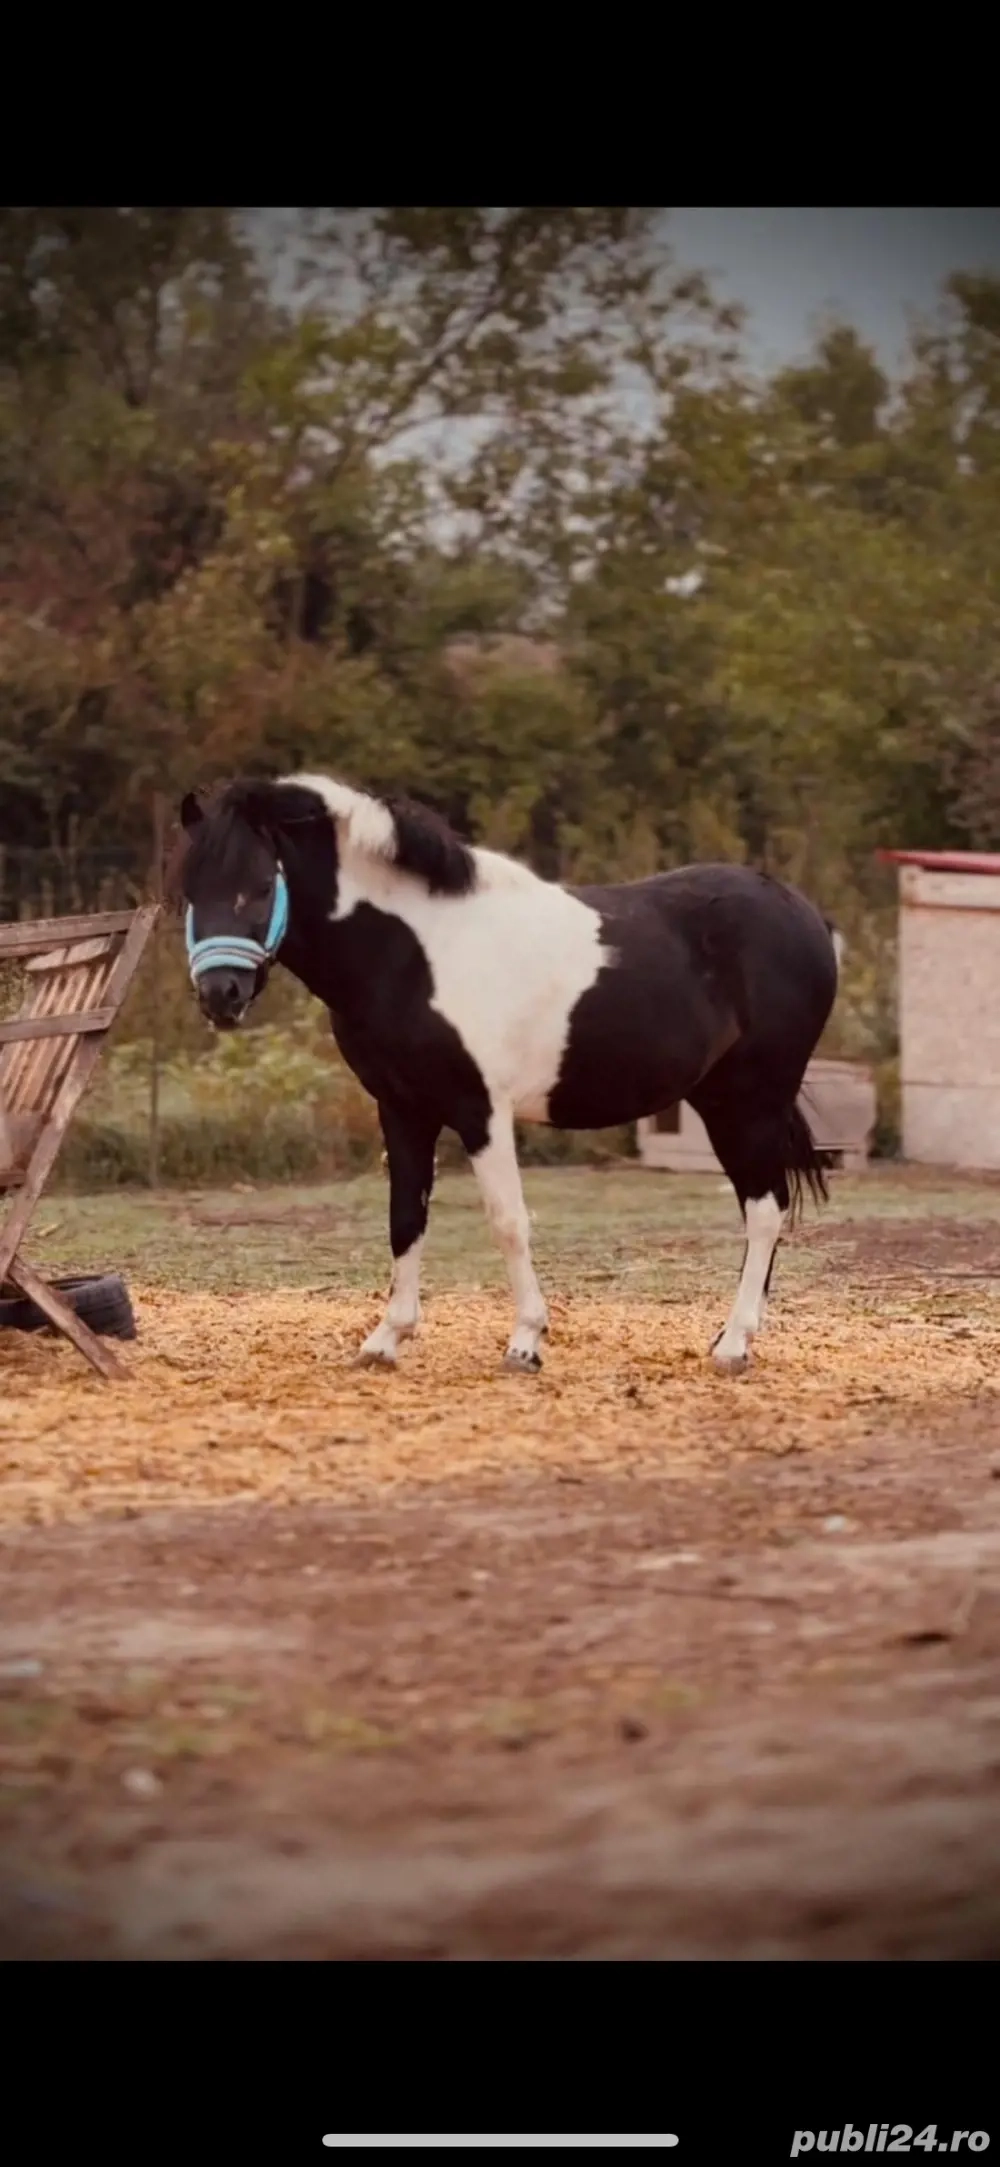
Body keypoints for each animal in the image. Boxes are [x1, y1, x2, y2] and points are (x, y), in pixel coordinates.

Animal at [175, 772, 841, 1375]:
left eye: (261, 887)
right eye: (188, 891)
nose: (219, 995)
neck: (416, 954)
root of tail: (806, 915)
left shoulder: (481, 1111)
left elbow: (508, 1222)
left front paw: (525, 1342)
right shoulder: (403, 1108)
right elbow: (405, 1219)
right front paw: (386, 1339)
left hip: (751, 1100)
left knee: (765, 1211)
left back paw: (733, 1346)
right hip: (721, 1101)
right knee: (763, 1208)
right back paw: (733, 1337)